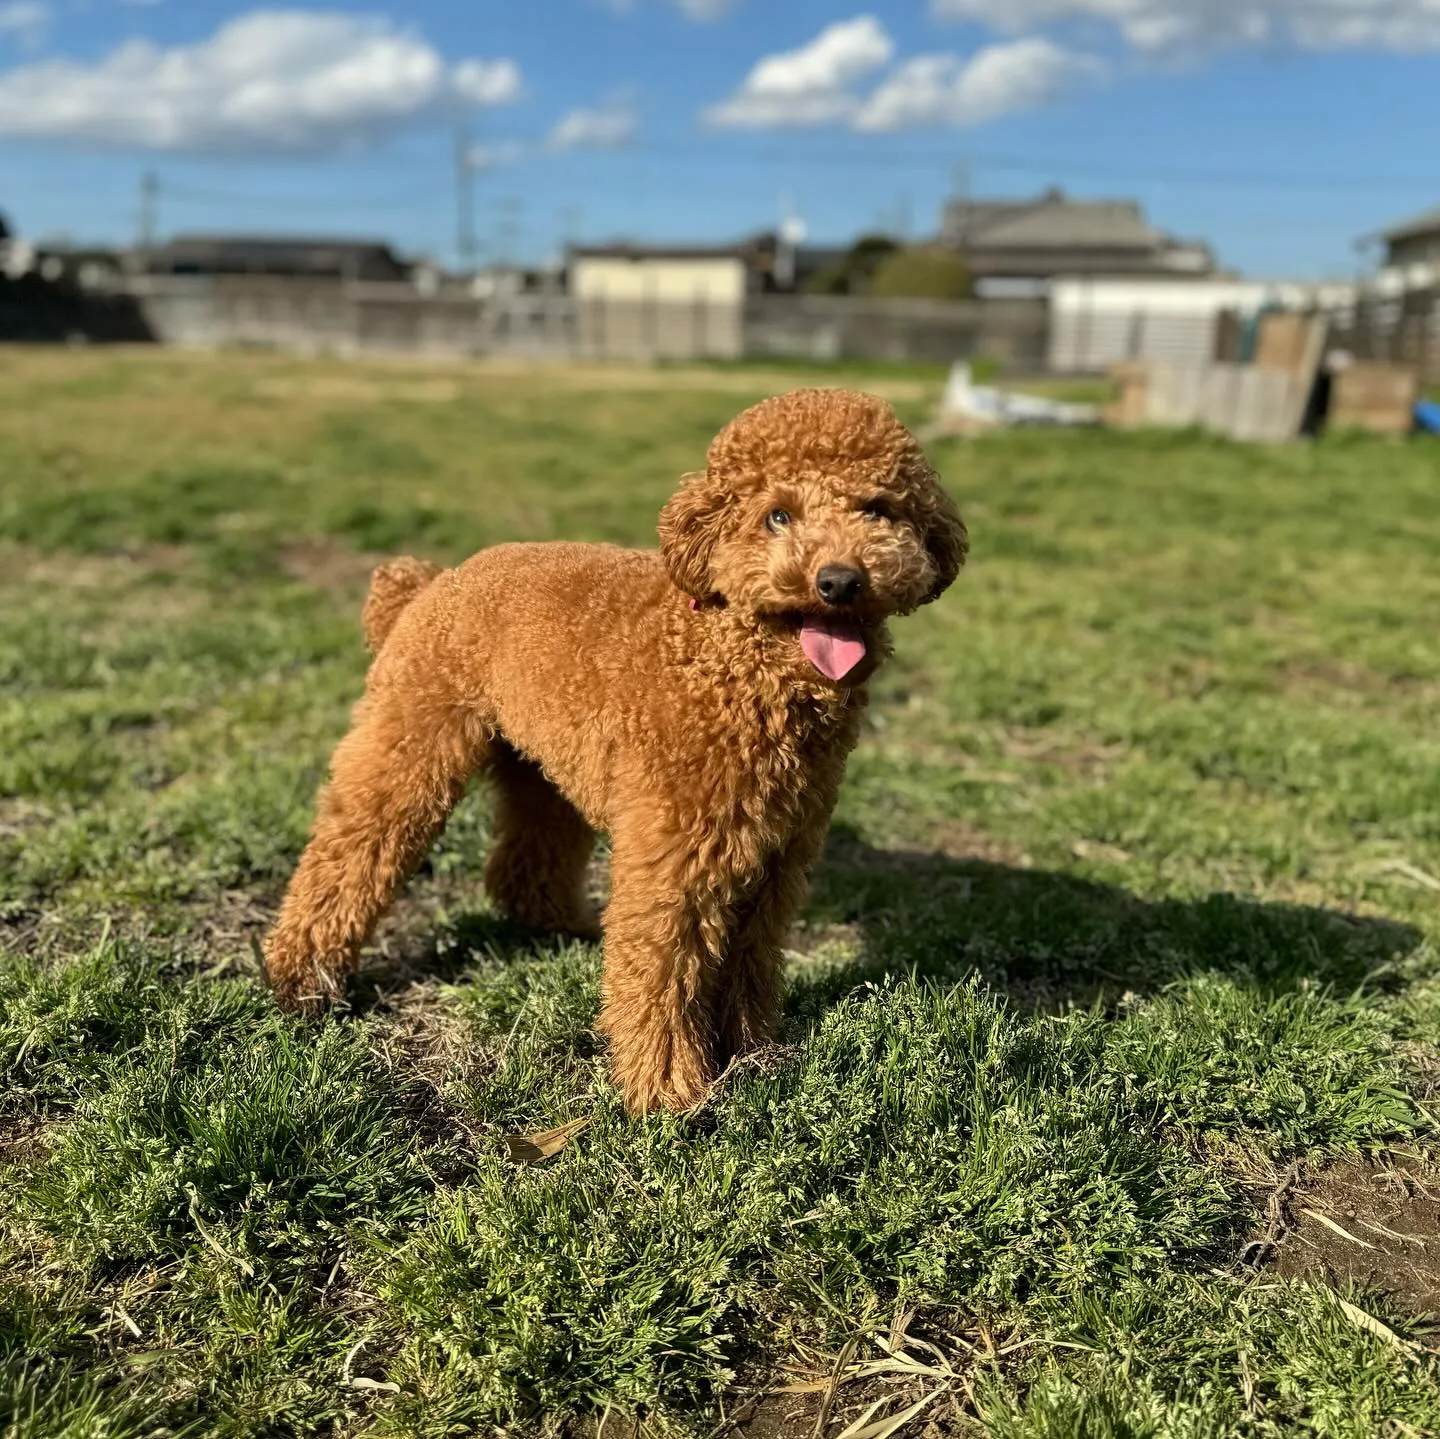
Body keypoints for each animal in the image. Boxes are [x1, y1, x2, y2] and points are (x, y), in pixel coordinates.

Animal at [266, 386, 973, 1112]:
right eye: (777, 515)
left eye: (877, 508)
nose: (838, 581)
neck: (730, 663)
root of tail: (433, 580)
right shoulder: (677, 858)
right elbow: (665, 967)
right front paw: (669, 1091)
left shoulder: (776, 855)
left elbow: (747, 959)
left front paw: (751, 1052)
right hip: (412, 735)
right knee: (355, 841)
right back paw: (303, 978)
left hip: (541, 763)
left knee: (529, 853)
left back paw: (561, 924)